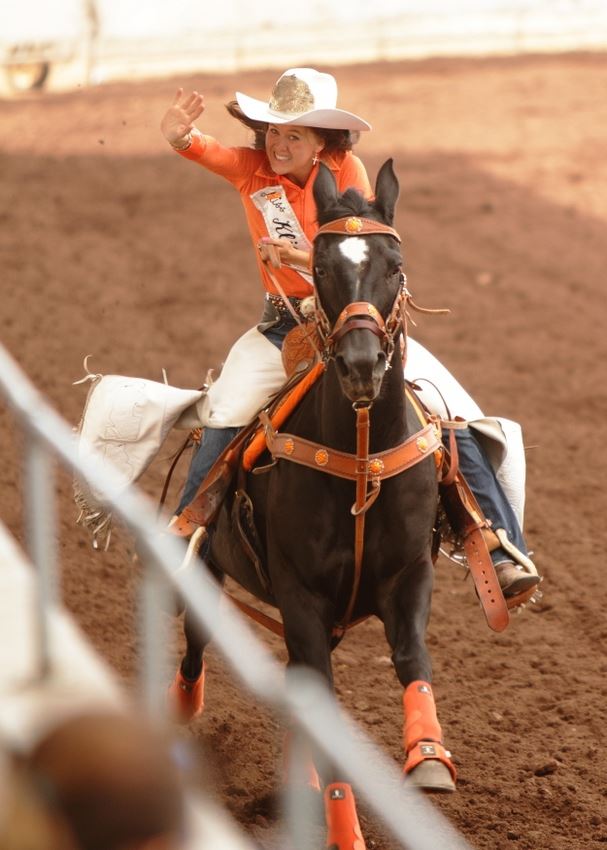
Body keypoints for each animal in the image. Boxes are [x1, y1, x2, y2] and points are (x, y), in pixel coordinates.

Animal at [169, 159, 457, 848]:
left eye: (396, 265)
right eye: (322, 268)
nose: (361, 363)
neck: (357, 459)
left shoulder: (410, 573)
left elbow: (412, 656)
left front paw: (429, 758)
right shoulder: (299, 594)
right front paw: (345, 830)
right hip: (211, 563)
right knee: (197, 637)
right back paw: (183, 707)